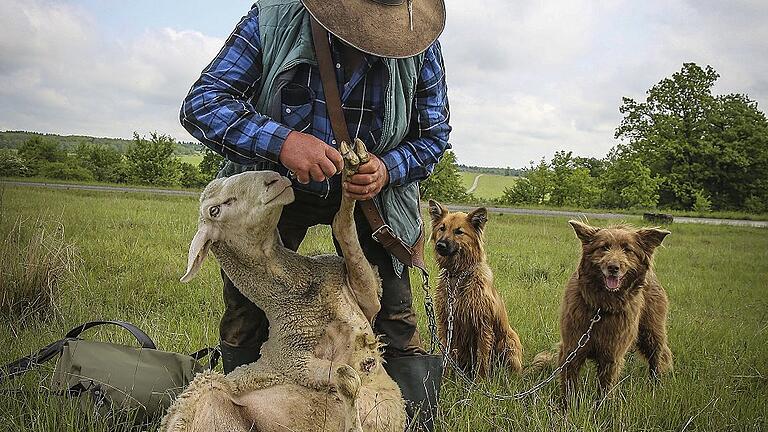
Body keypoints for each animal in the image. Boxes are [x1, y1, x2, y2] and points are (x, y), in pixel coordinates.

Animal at [159, 140, 404, 430]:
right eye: (215, 210)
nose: (274, 179)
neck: (299, 293)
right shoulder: (294, 361)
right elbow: (345, 375)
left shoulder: (369, 299)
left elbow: (344, 230)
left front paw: (354, 169)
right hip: (200, 396)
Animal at [428, 200, 524, 378]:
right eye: (442, 228)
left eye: (459, 231)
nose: (440, 245)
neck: (458, 275)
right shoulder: (446, 323)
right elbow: (446, 353)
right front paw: (444, 378)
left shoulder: (482, 326)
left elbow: (482, 358)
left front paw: (480, 381)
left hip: (509, 341)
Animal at [536, 221, 676, 404]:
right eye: (604, 247)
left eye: (627, 249)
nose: (613, 267)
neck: (601, 307)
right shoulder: (572, 348)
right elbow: (569, 384)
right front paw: (567, 406)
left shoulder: (612, 355)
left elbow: (605, 387)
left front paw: (601, 407)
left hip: (651, 333)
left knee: (656, 359)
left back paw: (655, 386)